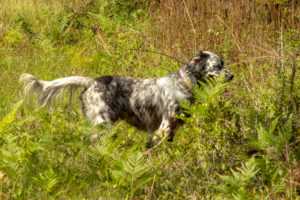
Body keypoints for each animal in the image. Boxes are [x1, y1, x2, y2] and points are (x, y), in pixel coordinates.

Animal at [19, 50, 233, 147]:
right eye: (217, 66)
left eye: (223, 63)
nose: (232, 76)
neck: (184, 82)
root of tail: (91, 82)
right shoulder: (164, 126)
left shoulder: (171, 129)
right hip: (102, 124)